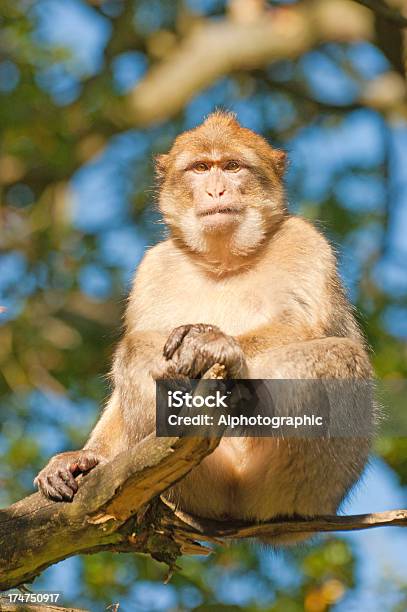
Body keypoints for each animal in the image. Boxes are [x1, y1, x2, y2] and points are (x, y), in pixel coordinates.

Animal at [33, 111, 374, 544]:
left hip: (310, 485)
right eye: (200, 168)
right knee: (139, 349)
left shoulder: (306, 243)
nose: (215, 190)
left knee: (338, 353)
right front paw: (84, 458)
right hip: (199, 485)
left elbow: (310, 327)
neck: (224, 261)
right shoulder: (153, 269)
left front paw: (215, 343)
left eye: (231, 166)